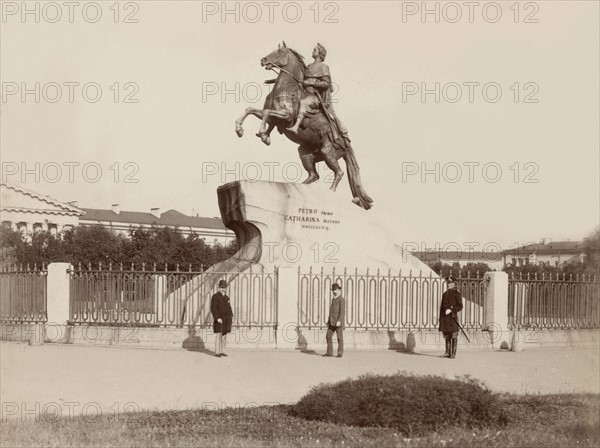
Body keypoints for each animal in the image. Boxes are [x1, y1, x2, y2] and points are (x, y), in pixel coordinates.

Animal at [236, 42, 372, 210]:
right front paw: (240, 130)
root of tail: (347, 144)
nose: (263, 60)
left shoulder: (286, 116)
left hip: (328, 153)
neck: (286, 88)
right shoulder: (273, 117)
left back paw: (330, 191)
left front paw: (263, 135)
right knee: (314, 175)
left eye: (279, 51)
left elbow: (267, 113)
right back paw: (302, 186)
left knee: (339, 172)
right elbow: (251, 110)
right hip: (305, 153)